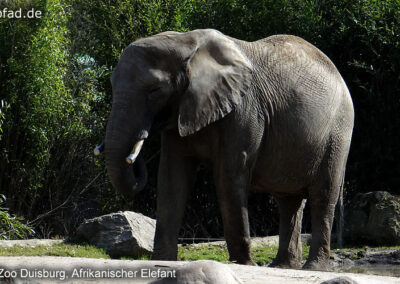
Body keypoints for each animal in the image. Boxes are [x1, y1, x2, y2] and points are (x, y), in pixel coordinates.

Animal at [102, 29, 354, 270]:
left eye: (155, 90)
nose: (137, 146)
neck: (185, 42)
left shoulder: (244, 109)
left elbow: (230, 175)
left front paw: (245, 264)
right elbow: (172, 177)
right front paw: (165, 261)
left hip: (338, 134)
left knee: (323, 194)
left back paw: (314, 267)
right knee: (288, 201)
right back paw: (283, 266)